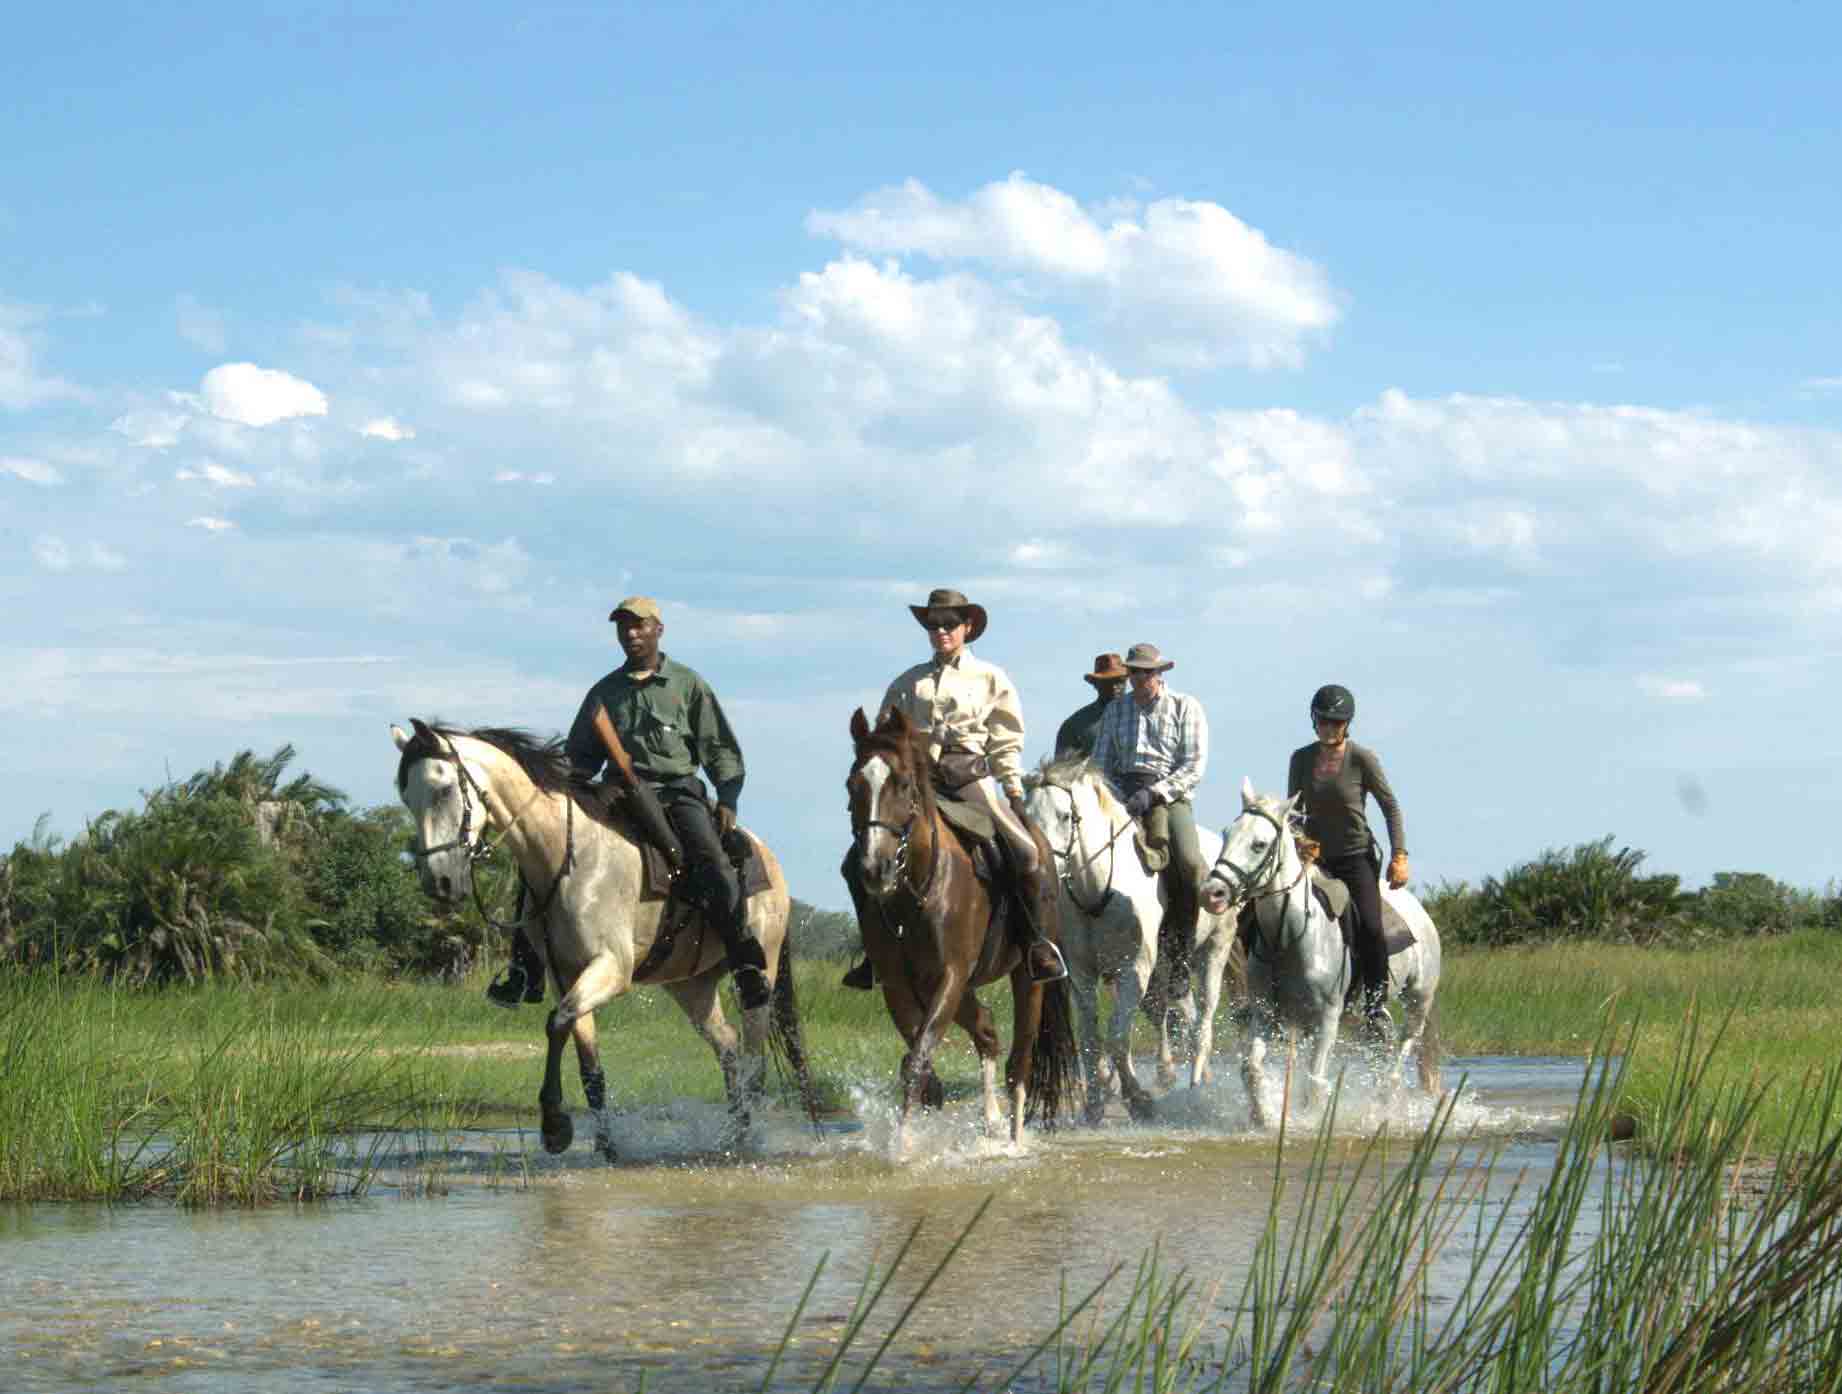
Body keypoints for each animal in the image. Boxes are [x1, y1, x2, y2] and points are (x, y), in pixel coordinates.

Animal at [392, 710, 817, 1156]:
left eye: (442, 790)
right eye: (406, 797)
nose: (439, 882)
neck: (566, 855)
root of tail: (768, 857)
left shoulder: (611, 967)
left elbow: (557, 1022)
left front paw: (555, 1126)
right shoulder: (567, 975)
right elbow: (587, 1062)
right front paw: (604, 1147)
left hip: (760, 973)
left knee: (754, 1059)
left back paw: (746, 1141)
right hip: (691, 986)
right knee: (729, 1048)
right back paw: (734, 1134)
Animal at [843, 707, 1075, 1141]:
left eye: (902, 783)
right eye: (853, 785)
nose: (874, 869)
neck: (917, 890)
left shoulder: (949, 976)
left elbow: (918, 1058)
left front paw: (904, 1145)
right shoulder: (900, 985)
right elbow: (918, 1058)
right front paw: (916, 1125)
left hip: (1026, 976)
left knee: (1020, 1062)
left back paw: (1014, 1138)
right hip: (963, 988)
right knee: (986, 1030)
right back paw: (992, 1120)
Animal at [1200, 777, 1444, 1126]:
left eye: (1259, 844)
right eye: (1226, 834)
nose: (1213, 893)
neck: (1289, 938)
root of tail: (1419, 911)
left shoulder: (1327, 1019)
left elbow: (1313, 1083)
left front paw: (1309, 1122)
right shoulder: (1267, 1015)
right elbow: (1252, 1069)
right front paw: (1263, 1117)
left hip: (1418, 1000)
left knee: (1401, 1053)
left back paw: (1383, 1105)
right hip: (1358, 1017)